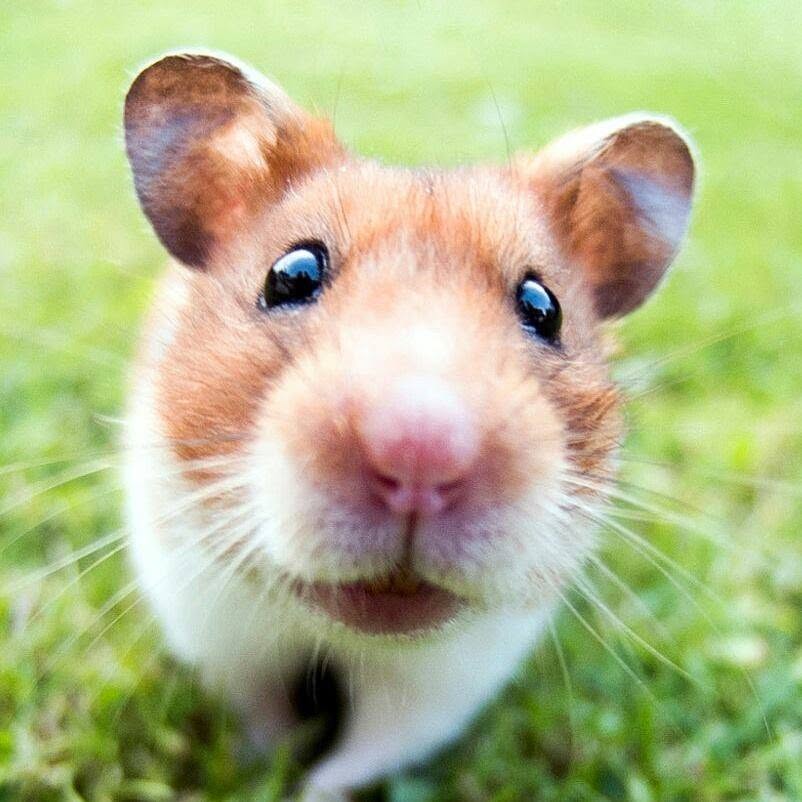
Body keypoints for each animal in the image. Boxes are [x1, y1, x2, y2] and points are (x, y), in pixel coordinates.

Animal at [122, 52, 695, 800]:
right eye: (290, 274)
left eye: (544, 307)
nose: (422, 452)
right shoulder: (218, 631)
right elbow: (266, 722)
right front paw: (266, 769)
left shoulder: (439, 688)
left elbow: (358, 759)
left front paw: (311, 789)